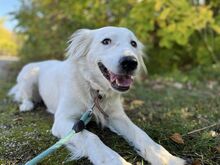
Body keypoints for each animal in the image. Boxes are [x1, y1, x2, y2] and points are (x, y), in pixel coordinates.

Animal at [9, 26, 186, 164]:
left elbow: (142, 135)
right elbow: (92, 138)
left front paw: (167, 158)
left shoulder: (116, 116)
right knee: (24, 96)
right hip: (29, 77)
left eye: (133, 43)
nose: (130, 62)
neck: (94, 89)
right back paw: (27, 105)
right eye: (106, 41)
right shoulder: (63, 120)